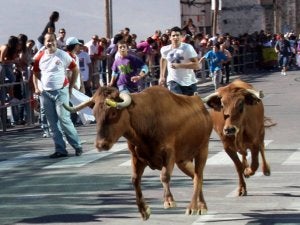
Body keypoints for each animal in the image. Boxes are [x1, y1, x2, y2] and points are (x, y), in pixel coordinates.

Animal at [64, 85, 212, 220]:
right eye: (95, 114)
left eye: (113, 113)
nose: (101, 144)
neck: (146, 121)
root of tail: (199, 102)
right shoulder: (137, 158)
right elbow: (135, 180)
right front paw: (144, 210)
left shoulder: (169, 154)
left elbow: (164, 176)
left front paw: (169, 201)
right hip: (183, 160)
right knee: (196, 177)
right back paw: (202, 206)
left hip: (202, 150)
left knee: (198, 176)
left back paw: (193, 207)